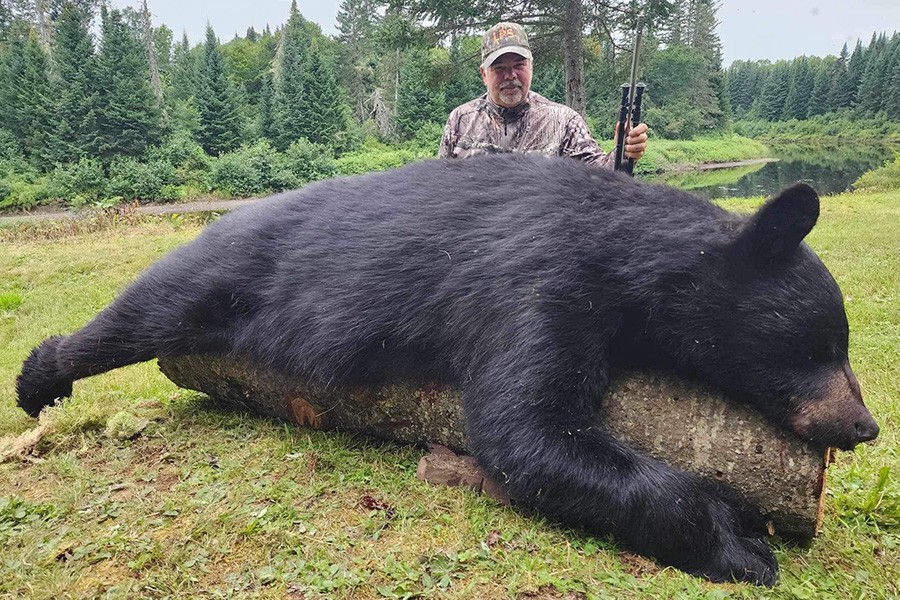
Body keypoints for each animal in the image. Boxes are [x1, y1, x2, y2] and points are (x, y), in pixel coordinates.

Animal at [16, 154, 879, 586]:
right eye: (819, 346)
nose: (864, 425)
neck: (628, 256)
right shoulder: (539, 280)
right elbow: (528, 433)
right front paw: (739, 541)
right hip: (230, 270)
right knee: (139, 310)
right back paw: (38, 376)